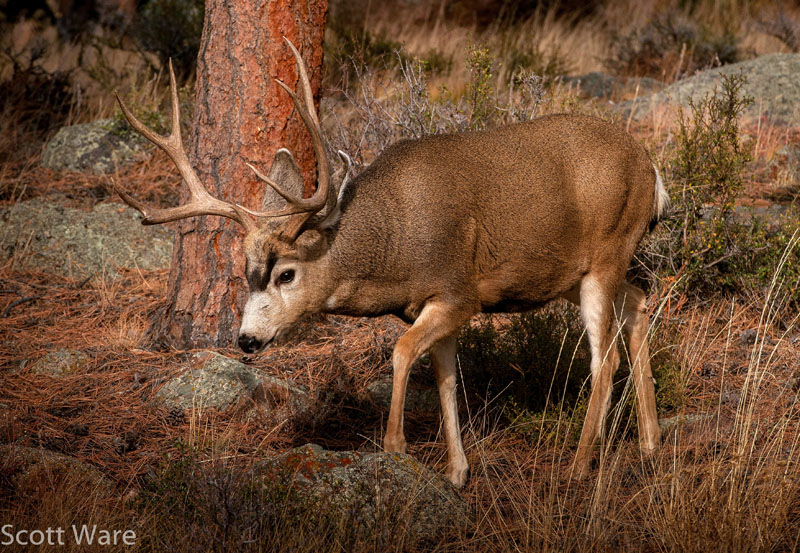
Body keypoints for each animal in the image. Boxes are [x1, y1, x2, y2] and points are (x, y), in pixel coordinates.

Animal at [113, 38, 668, 487]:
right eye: (245, 275)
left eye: (287, 273)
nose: (246, 340)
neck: (395, 245)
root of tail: (652, 168)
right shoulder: (436, 307)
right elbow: (446, 379)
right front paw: (457, 472)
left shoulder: (458, 291)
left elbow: (402, 352)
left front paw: (395, 447)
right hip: (579, 271)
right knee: (639, 302)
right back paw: (649, 442)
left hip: (606, 253)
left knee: (605, 357)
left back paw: (579, 465)